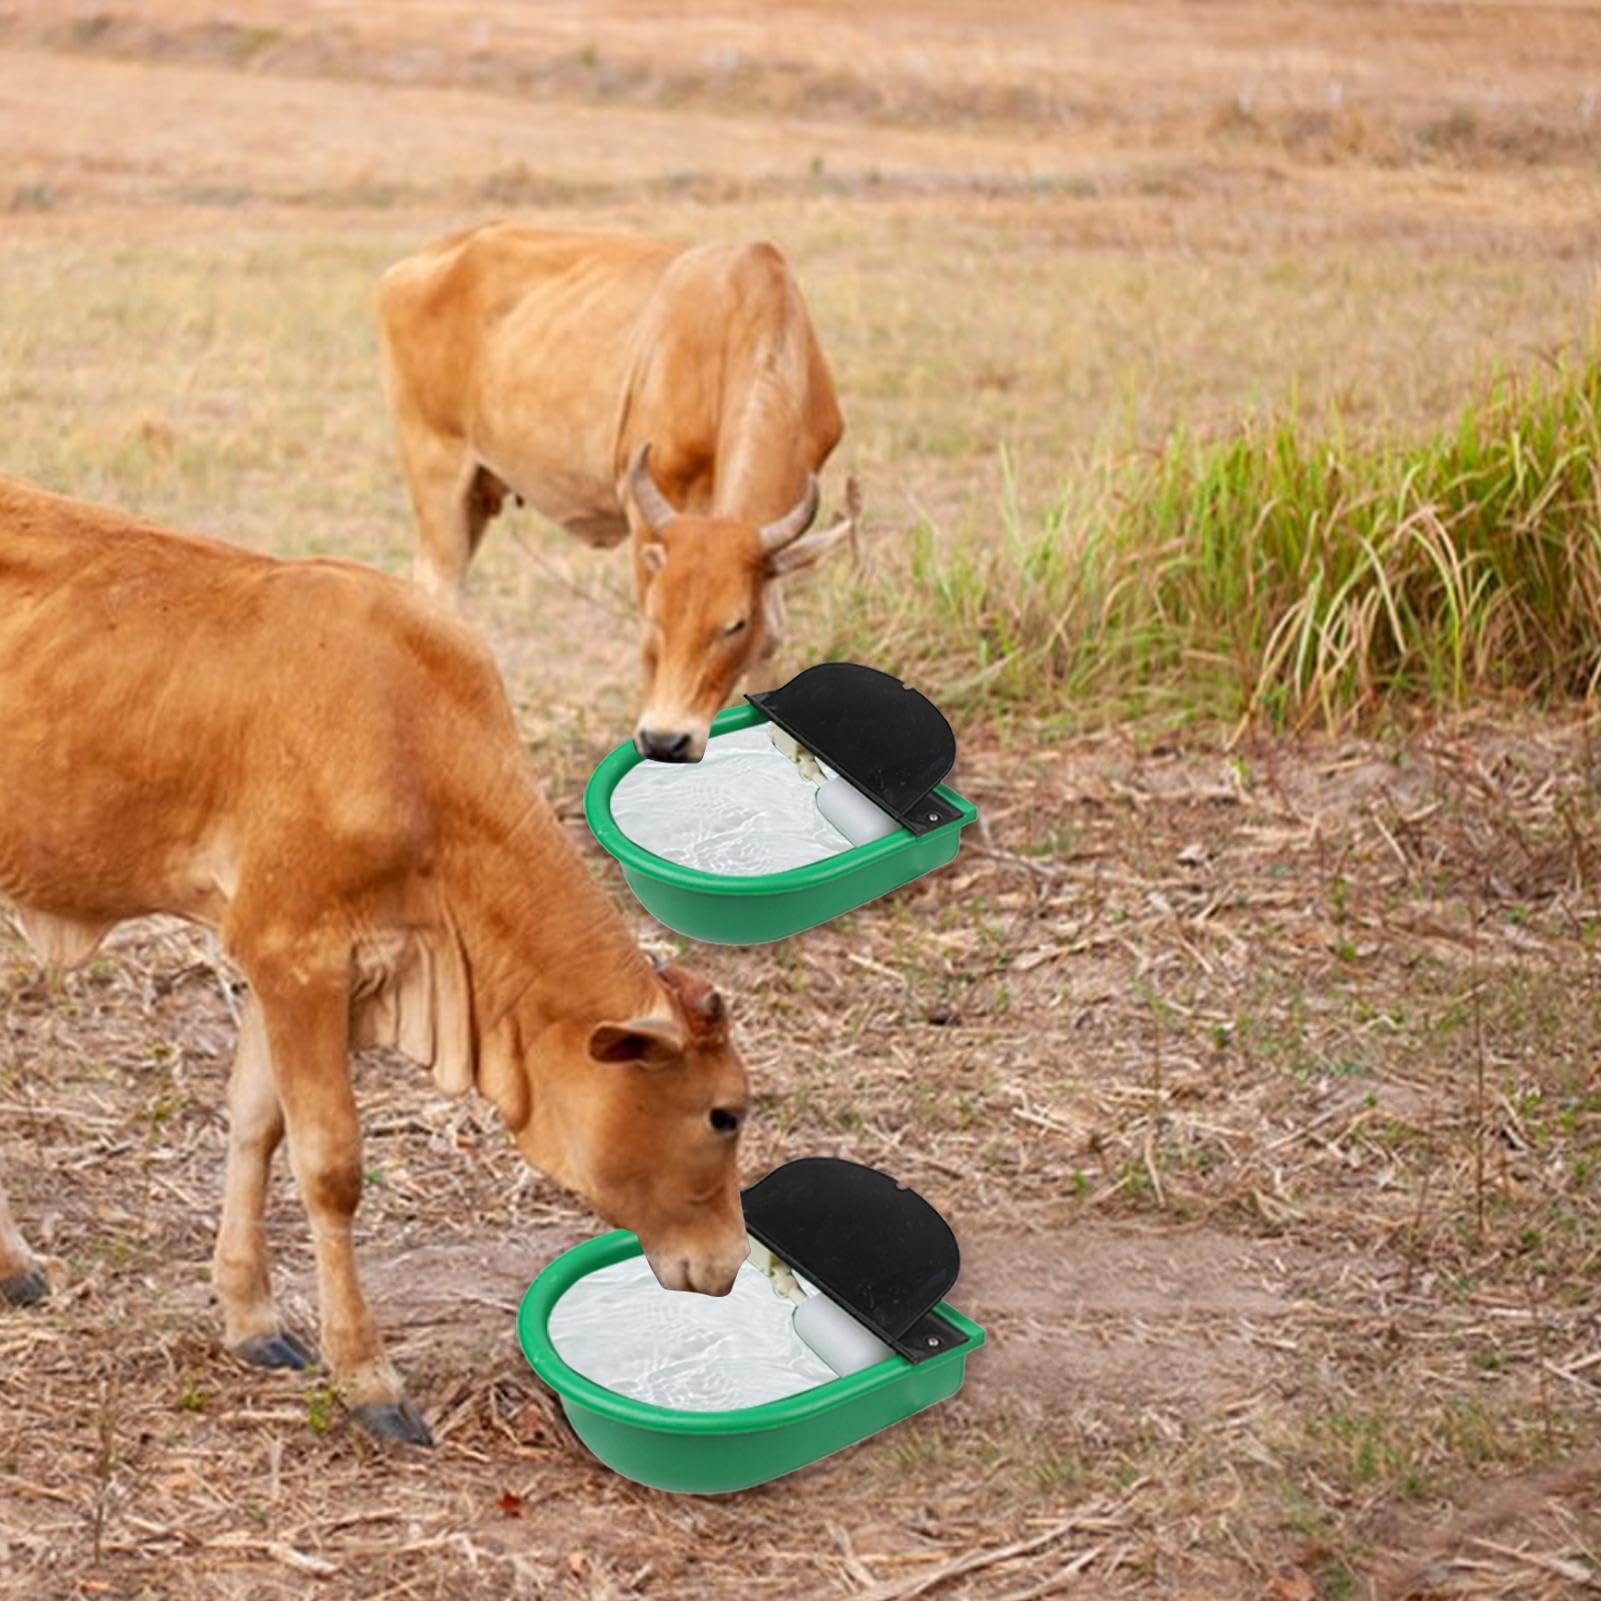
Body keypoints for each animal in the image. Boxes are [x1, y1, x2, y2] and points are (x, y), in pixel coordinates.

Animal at [0, 475, 751, 1445]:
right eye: (723, 1114)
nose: (729, 1261)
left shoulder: (290, 960)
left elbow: (257, 1123)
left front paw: (250, 1316)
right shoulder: (299, 956)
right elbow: (330, 1165)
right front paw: (367, 1376)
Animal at [377, 223, 851, 763]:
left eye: (734, 624)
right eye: (659, 617)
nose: (667, 740)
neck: (738, 320)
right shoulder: (648, 509)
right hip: (438, 475)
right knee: (439, 592)